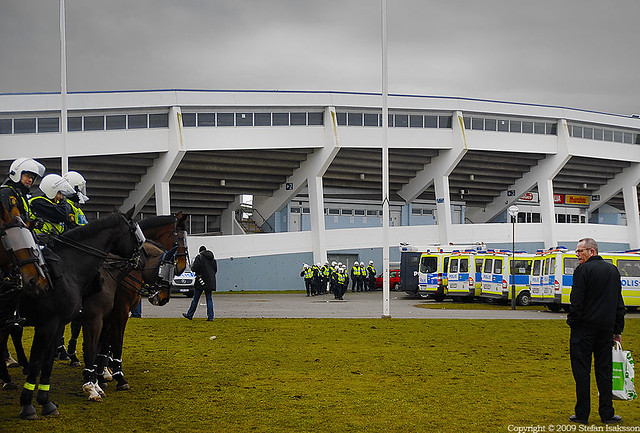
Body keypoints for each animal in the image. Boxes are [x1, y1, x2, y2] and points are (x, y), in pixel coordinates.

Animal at [17, 209, 145, 418]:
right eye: (135, 231)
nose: (141, 259)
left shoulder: (68, 322)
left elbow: (51, 361)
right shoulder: (90, 319)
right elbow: (92, 349)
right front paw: (93, 386)